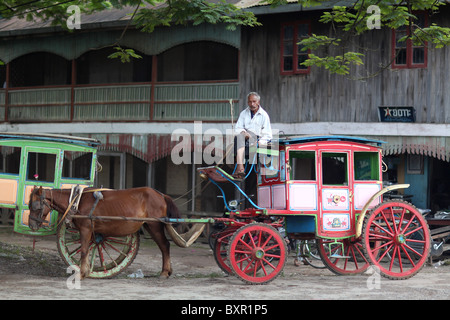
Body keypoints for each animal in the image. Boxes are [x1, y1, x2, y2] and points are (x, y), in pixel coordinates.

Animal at [28, 186, 181, 278]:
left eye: (35, 206)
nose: (31, 225)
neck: (78, 200)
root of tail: (161, 195)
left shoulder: (85, 229)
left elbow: (84, 251)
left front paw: (82, 273)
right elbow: (87, 251)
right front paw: (86, 270)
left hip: (155, 225)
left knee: (165, 246)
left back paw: (165, 272)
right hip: (149, 225)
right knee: (164, 246)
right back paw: (168, 271)